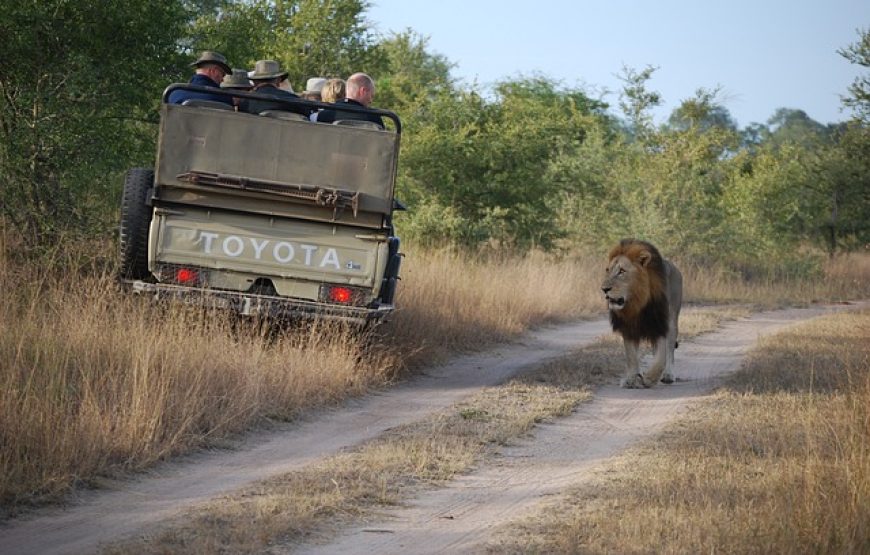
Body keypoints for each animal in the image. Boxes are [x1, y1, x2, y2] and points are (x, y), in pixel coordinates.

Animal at [604, 240, 684, 390]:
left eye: (622, 271)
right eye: (608, 270)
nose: (604, 289)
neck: (637, 303)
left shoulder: (660, 324)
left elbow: (661, 357)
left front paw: (650, 378)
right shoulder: (628, 328)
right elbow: (631, 356)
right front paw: (630, 379)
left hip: (672, 321)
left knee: (670, 349)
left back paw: (668, 375)